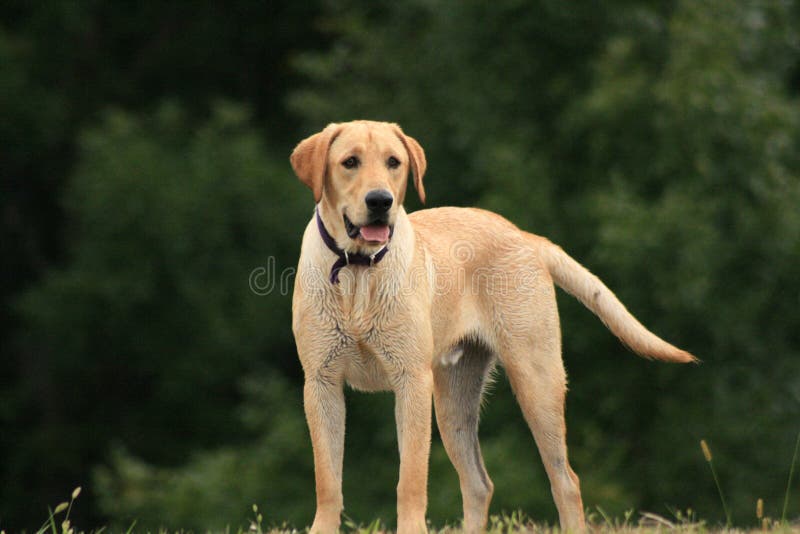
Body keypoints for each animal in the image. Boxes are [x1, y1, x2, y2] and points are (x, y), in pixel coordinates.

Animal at [290, 121, 692, 534]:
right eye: (349, 162)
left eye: (393, 162)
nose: (380, 201)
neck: (357, 270)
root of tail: (526, 236)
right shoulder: (321, 383)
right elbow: (328, 480)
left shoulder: (411, 381)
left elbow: (411, 477)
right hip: (453, 402)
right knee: (478, 483)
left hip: (535, 380)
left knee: (565, 481)